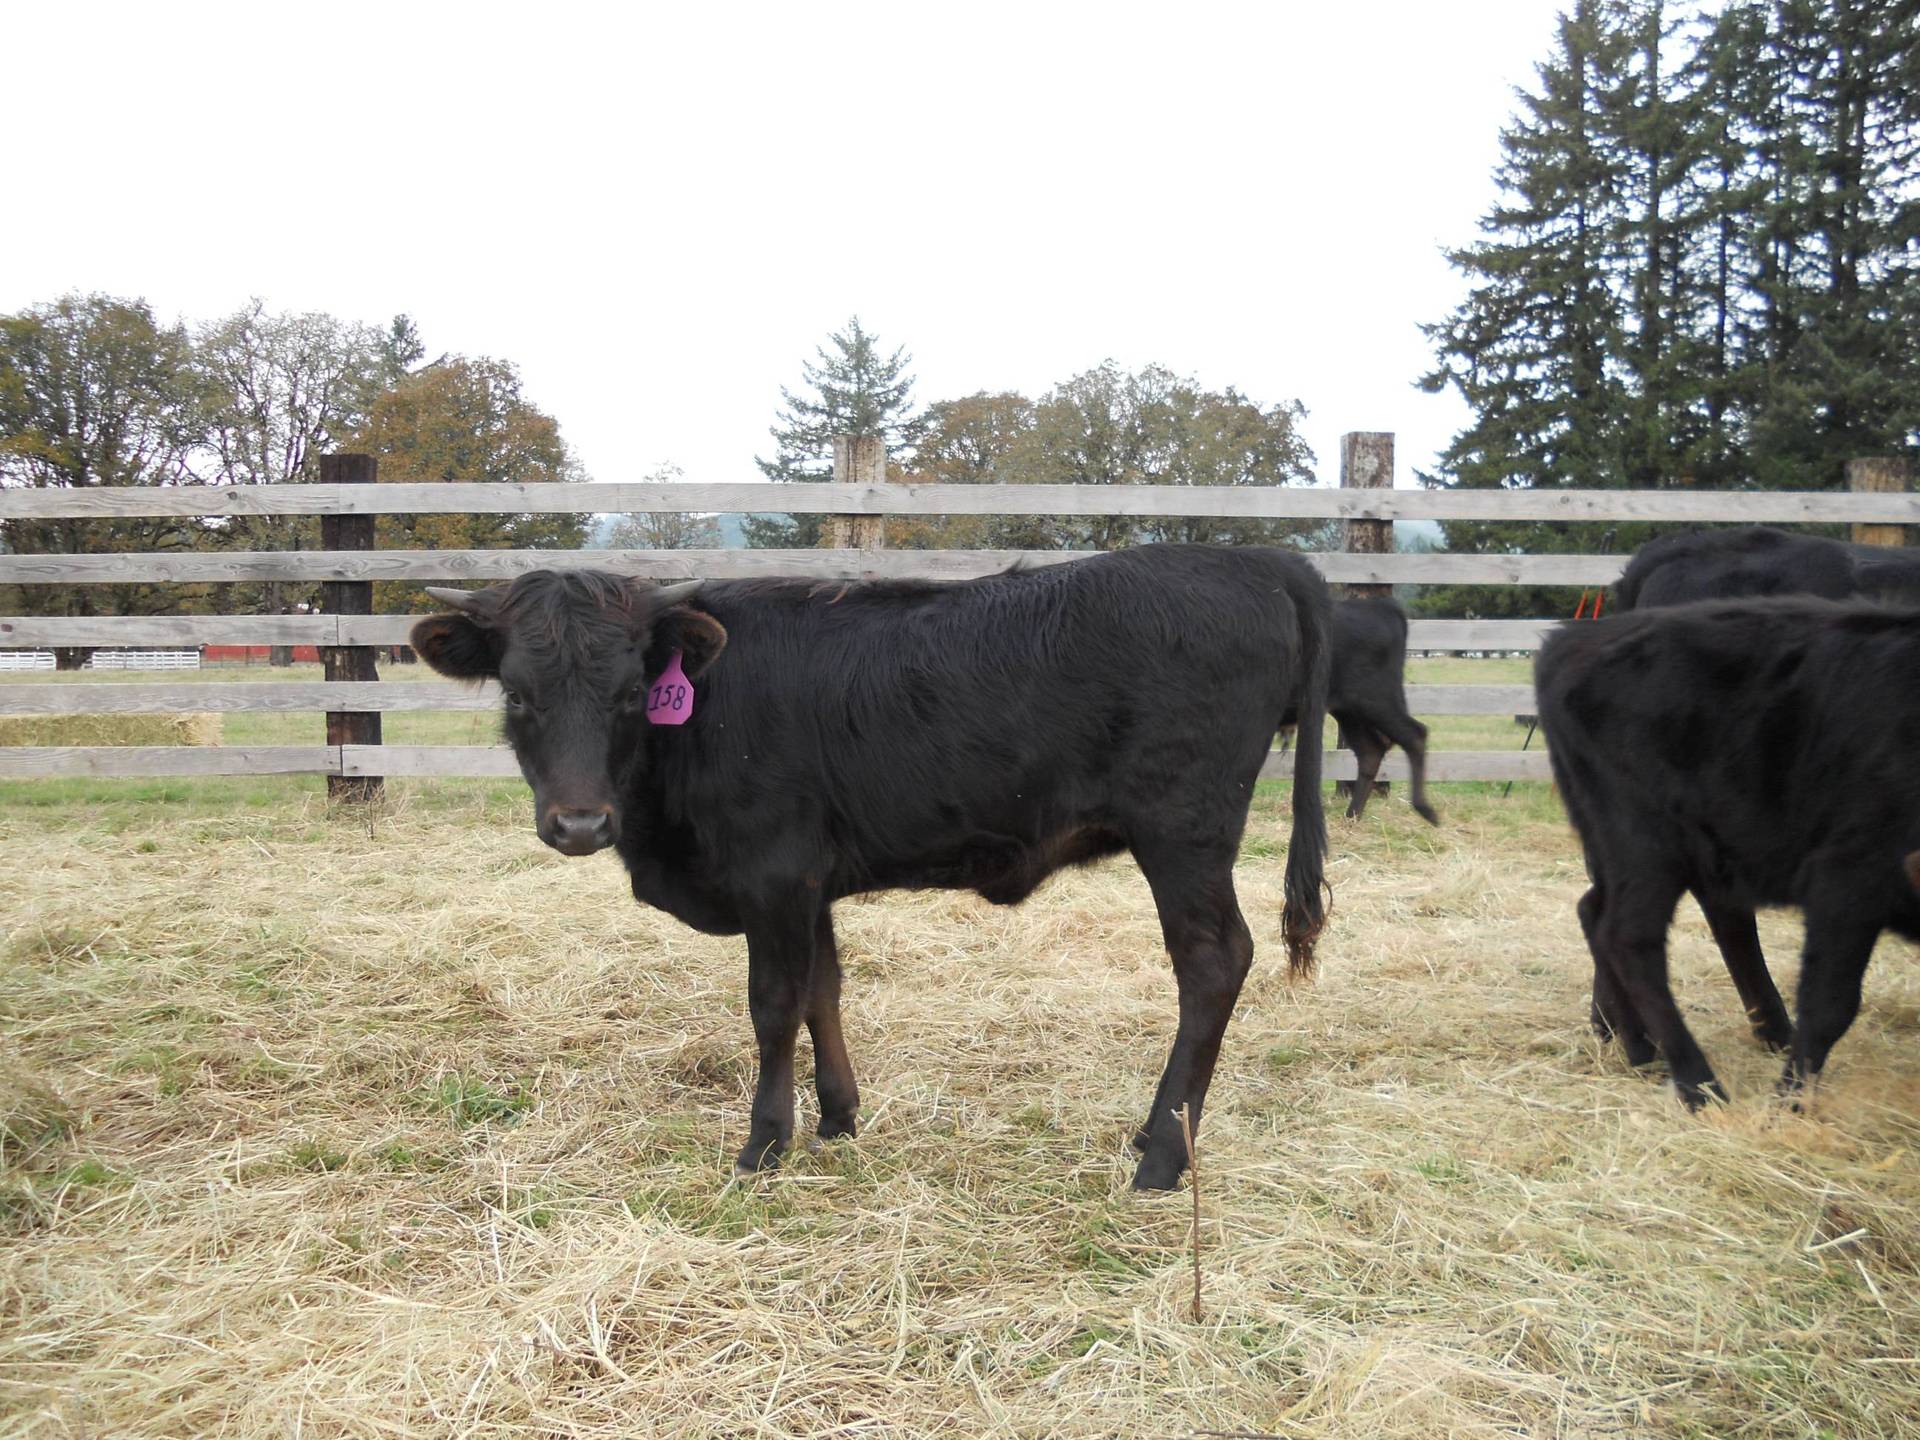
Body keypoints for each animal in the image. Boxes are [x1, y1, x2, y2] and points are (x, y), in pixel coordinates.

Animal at [412, 545, 1328, 1198]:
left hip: (1184, 831)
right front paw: (838, 1119)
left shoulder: (774, 873)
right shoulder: (808, 881)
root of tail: (1249, 558)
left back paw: (1163, 1155)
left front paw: (763, 1144)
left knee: (1213, 963)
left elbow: (774, 1005)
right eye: (518, 695)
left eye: (631, 692)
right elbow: (825, 990)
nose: (578, 823)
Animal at [1536, 599, 1920, 1105]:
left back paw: (1639, 1048)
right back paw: (1698, 1082)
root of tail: (1568, 639)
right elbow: (1830, 1006)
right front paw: (1789, 1098)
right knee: (1628, 937)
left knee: (1594, 913)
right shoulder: (1848, 879)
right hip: (1648, 847)